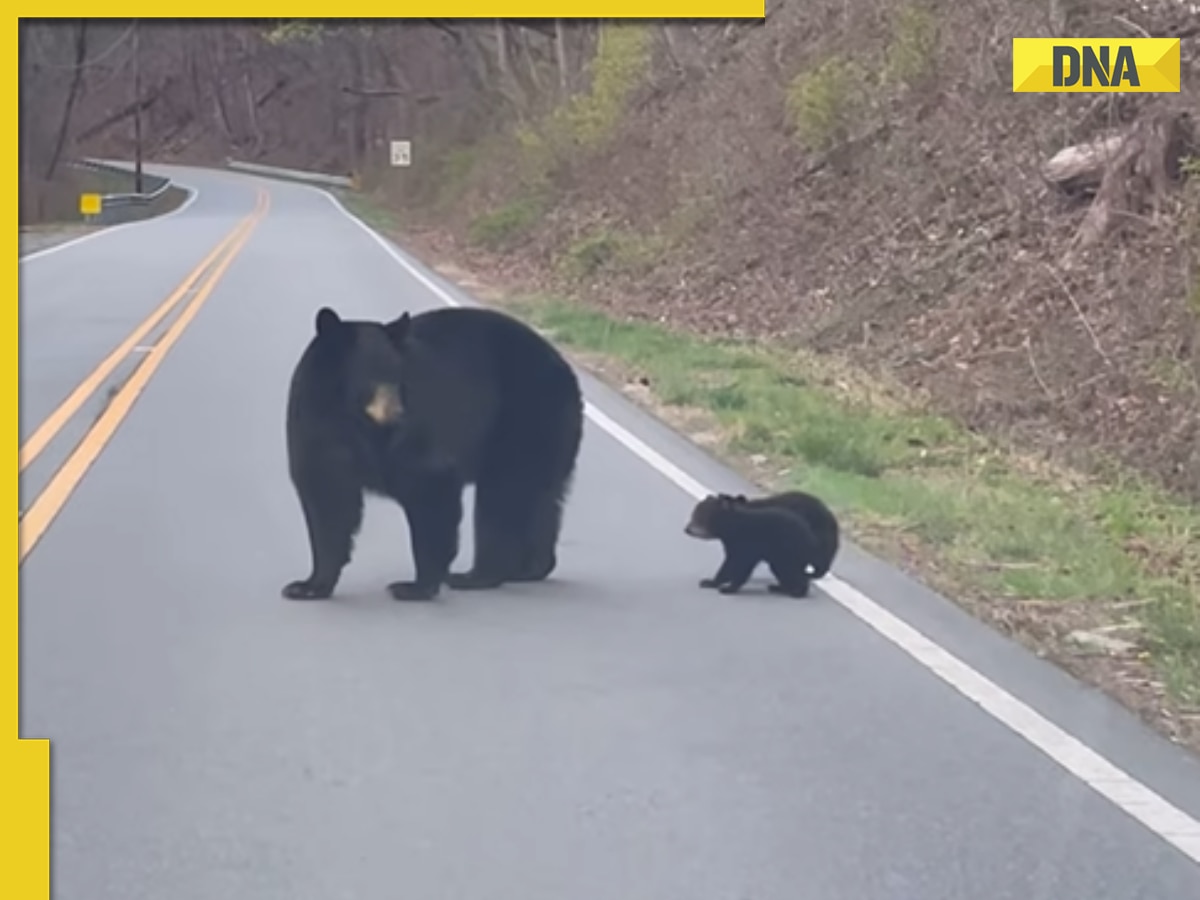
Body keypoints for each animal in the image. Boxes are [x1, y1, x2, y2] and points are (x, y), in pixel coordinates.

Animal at [280, 304, 580, 607]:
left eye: (398, 377)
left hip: (523, 419)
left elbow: (430, 490)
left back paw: (475, 576)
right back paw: (531, 567)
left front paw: (414, 586)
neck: (355, 423)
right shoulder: (313, 429)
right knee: (540, 499)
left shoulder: (414, 439)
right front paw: (308, 586)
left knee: (504, 496)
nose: (398, 413)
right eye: (371, 376)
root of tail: (565, 369)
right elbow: (328, 501)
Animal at [691, 494, 840, 600]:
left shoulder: (747, 543)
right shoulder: (733, 544)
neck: (733, 526)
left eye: (697, 516)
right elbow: (729, 563)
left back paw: (798, 591)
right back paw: (780, 587)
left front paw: (728, 588)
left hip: (790, 550)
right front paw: (710, 582)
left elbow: (740, 565)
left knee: (790, 570)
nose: (687, 529)